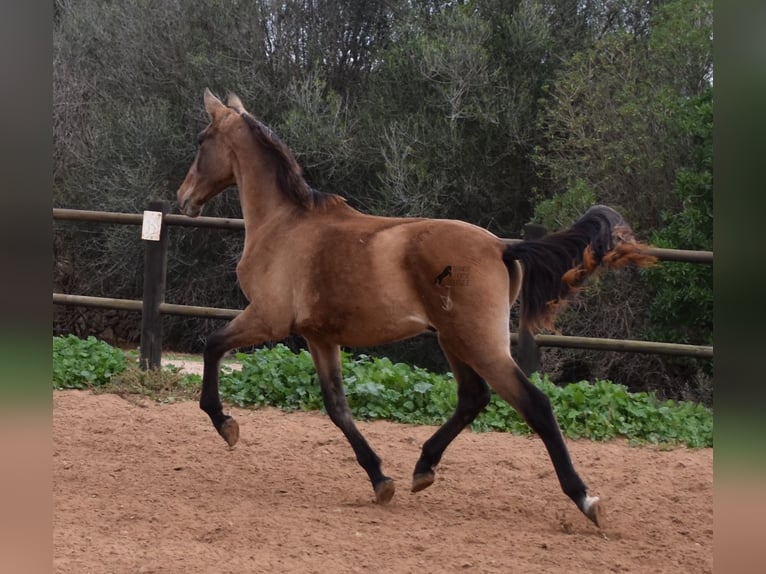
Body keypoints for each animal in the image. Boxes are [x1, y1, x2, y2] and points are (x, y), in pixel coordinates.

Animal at [177, 88, 656, 528]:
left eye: (201, 140)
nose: (183, 198)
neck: (284, 225)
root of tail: (502, 246)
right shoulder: (319, 337)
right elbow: (337, 407)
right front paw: (380, 479)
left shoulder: (267, 318)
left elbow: (212, 345)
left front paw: (225, 424)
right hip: (453, 339)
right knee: (473, 397)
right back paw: (422, 469)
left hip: (478, 342)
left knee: (533, 403)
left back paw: (585, 499)